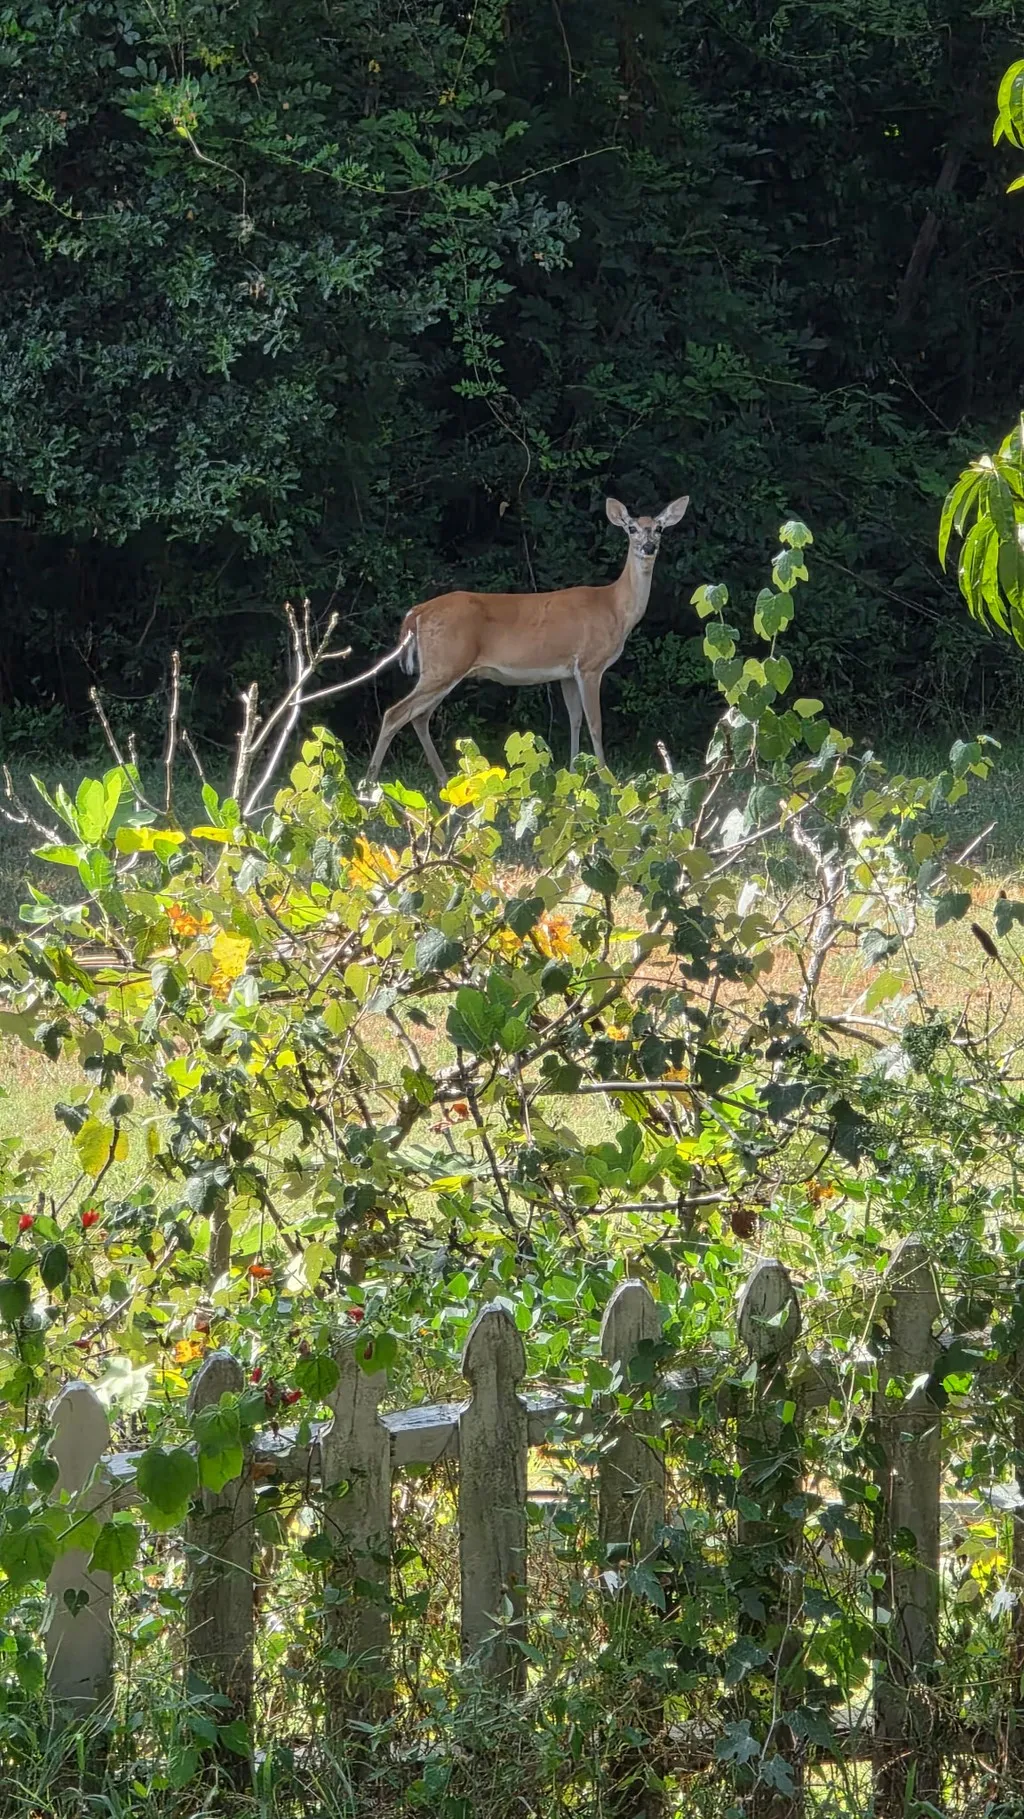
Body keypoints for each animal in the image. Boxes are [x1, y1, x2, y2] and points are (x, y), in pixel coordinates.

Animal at [362, 494, 690, 786]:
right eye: (631, 528)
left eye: (659, 528)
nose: (648, 547)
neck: (615, 607)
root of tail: (417, 612)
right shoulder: (590, 664)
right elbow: (595, 723)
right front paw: (607, 779)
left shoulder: (567, 672)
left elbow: (574, 719)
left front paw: (574, 773)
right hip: (446, 664)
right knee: (395, 713)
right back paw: (369, 784)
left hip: (443, 668)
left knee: (419, 716)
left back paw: (443, 781)